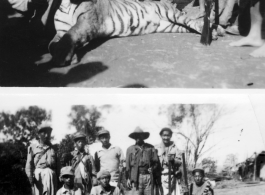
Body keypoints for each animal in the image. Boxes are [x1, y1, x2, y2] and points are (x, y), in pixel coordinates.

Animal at [48, 0, 224, 66]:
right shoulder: (59, 31)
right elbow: (52, 44)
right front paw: (68, 53)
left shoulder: (88, 20)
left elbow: (72, 32)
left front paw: (63, 55)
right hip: (170, 26)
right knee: (190, 26)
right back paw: (215, 32)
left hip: (172, 14)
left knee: (193, 22)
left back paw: (214, 33)